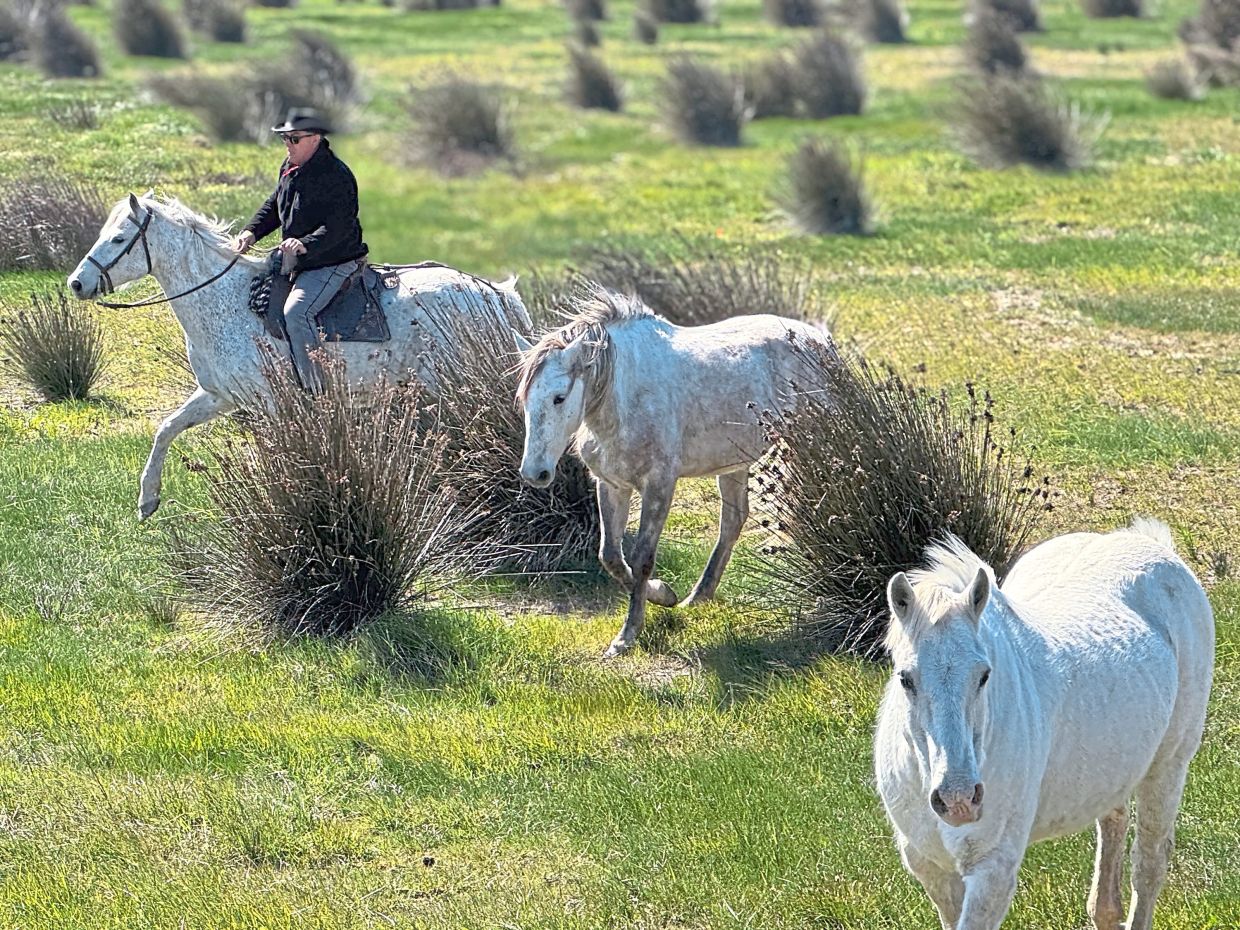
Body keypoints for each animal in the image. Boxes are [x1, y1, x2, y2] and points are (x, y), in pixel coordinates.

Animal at [67, 193, 531, 521]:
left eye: (119, 239)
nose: (76, 283)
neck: (226, 300)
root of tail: (495, 294)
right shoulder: (218, 396)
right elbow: (167, 429)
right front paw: (147, 499)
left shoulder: (272, 405)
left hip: (451, 386)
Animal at [514, 288, 832, 658]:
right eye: (525, 400)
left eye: (559, 398)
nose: (534, 472)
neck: (624, 396)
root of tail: (820, 339)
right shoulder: (612, 485)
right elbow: (611, 556)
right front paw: (665, 595)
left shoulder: (659, 484)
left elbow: (641, 559)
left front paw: (628, 635)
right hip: (734, 464)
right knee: (732, 521)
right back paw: (698, 597)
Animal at [874, 519, 1214, 930]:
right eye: (905, 678)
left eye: (984, 675)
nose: (958, 800)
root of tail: (1145, 541)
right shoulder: (931, 868)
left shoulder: (992, 870)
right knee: (1113, 825)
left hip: (1168, 766)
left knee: (1148, 866)